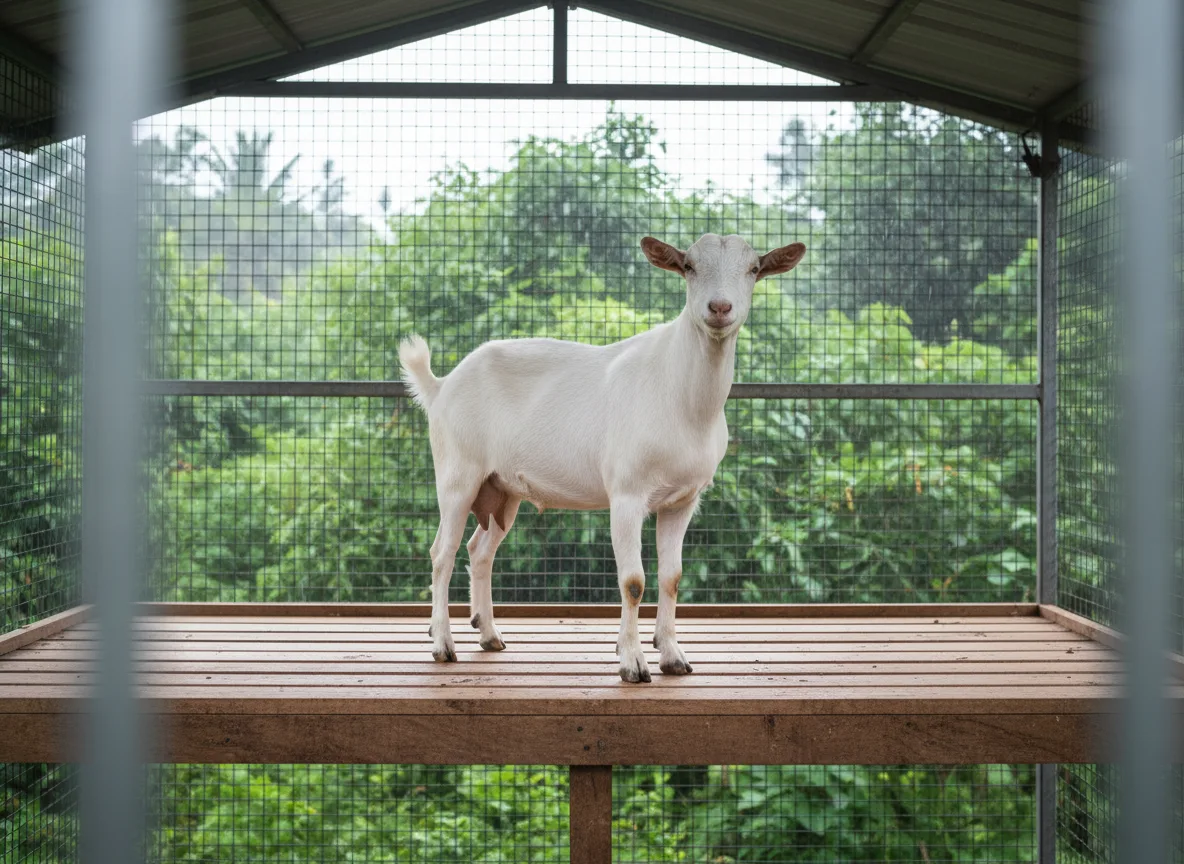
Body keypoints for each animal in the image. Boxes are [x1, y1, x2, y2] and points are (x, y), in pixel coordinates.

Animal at [399, 233, 806, 682]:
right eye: (689, 266)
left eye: (753, 269)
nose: (719, 308)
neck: (682, 397)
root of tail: (441, 385)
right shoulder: (627, 493)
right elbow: (633, 581)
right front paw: (632, 662)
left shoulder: (684, 500)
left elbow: (672, 577)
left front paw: (673, 657)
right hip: (458, 472)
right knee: (443, 552)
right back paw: (442, 644)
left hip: (502, 489)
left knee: (480, 549)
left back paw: (490, 635)